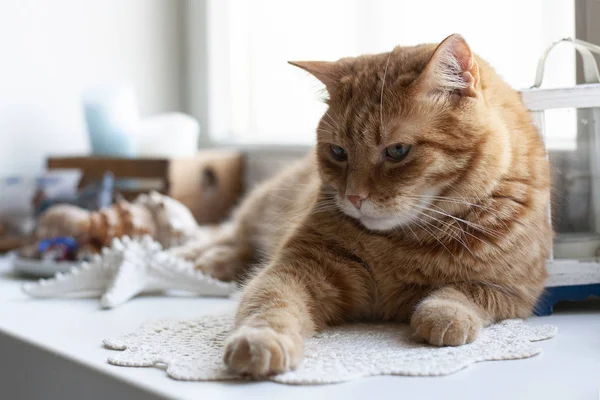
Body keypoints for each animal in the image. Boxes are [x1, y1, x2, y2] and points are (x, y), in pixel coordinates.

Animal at [171, 33, 552, 376]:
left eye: (397, 151)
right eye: (338, 152)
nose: (354, 197)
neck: (403, 242)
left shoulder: (517, 293)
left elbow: (466, 292)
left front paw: (444, 313)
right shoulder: (298, 266)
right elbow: (268, 302)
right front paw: (260, 340)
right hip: (260, 208)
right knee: (234, 237)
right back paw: (202, 258)